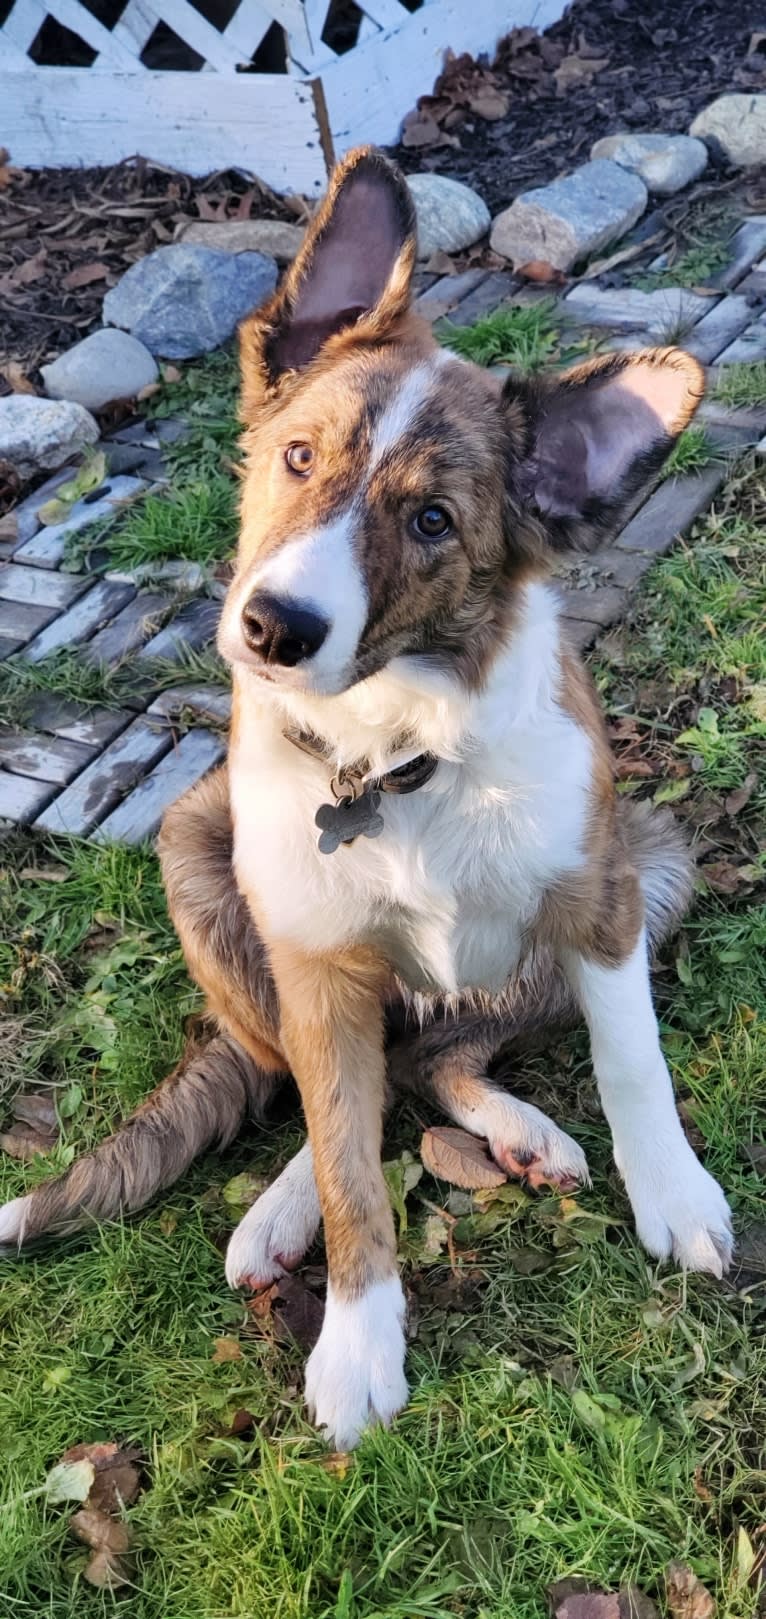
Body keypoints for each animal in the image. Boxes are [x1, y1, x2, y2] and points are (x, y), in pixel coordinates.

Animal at [0, 145, 728, 1450]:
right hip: (202, 862)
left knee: (437, 1055)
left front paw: (676, 1191)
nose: (271, 628)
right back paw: (279, 1207)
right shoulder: (316, 957)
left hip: (658, 860)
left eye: (432, 519)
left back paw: (522, 1131)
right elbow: (345, 1153)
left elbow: (629, 1056)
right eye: (298, 455)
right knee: (327, 1078)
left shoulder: (602, 900)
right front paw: (354, 1336)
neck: (391, 752)